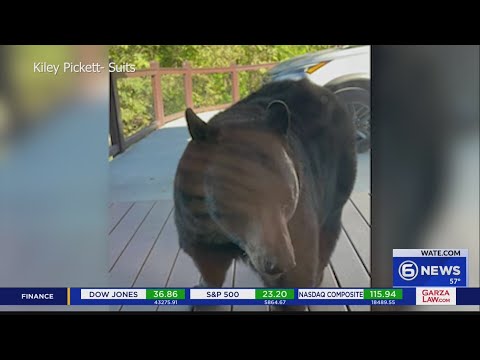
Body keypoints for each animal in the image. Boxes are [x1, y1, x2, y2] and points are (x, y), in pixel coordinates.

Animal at [172, 79, 356, 310]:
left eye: (288, 197)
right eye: (241, 196)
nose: (280, 262)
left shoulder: (296, 220)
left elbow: (299, 270)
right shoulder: (194, 219)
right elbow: (206, 261)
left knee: (329, 228)